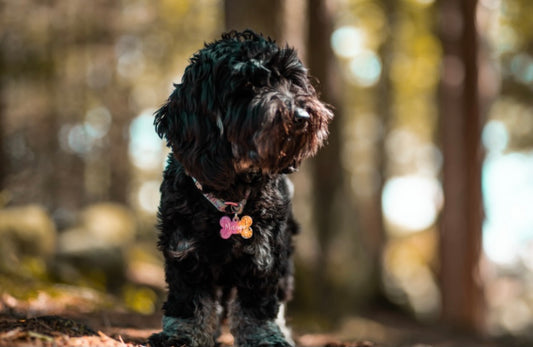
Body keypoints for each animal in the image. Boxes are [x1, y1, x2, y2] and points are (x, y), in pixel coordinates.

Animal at [149, 30, 332, 347]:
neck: (230, 195)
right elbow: (189, 301)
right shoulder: (183, 249)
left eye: (292, 81)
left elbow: (256, 306)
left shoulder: (264, 254)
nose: (302, 115)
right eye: (249, 86)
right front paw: (182, 334)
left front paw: (264, 338)